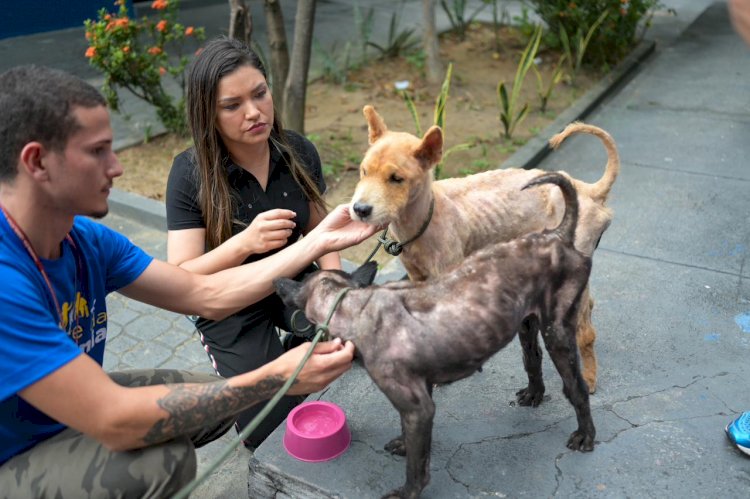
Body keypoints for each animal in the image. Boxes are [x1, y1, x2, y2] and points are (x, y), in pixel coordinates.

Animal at [276, 173, 600, 499]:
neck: (350, 303)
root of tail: (557, 234)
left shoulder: (419, 408)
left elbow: (417, 467)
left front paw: (407, 492)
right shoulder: (421, 391)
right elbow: (408, 435)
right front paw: (404, 444)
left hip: (558, 331)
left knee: (576, 387)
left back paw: (586, 434)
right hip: (528, 323)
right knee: (532, 358)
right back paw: (534, 394)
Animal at [350, 105, 620, 394]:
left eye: (396, 178)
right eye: (363, 172)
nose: (360, 210)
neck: (428, 215)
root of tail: (589, 190)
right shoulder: (417, 277)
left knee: (586, 331)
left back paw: (589, 377)